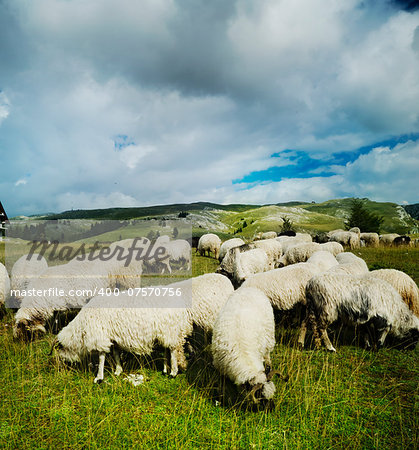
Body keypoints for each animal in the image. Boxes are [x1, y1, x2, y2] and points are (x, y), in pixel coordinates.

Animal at [54, 272, 235, 382]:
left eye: (60, 350)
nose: (62, 367)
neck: (81, 329)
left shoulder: (101, 337)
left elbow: (101, 357)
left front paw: (99, 377)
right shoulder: (114, 338)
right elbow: (116, 354)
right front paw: (118, 370)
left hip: (170, 330)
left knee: (173, 350)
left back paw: (173, 371)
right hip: (166, 330)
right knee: (169, 349)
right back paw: (166, 369)